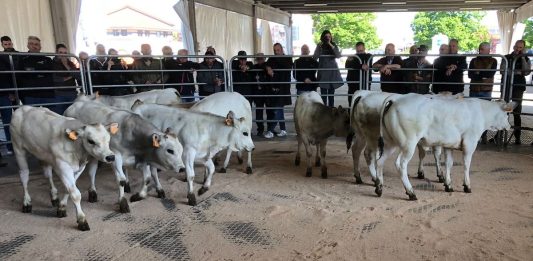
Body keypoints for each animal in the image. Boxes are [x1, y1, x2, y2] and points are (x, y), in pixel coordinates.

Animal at [376, 93, 512, 199]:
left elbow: (448, 164)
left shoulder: (449, 146)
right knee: (401, 164)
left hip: (390, 143)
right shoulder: (470, 143)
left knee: (380, 161)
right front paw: (467, 186)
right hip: (408, 144)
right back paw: (411, 193)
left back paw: (379, 188)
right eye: (506, 115)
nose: (509, 126)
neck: (482, 112)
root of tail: (397, 98)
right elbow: (466, 164)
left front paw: (448, 185)